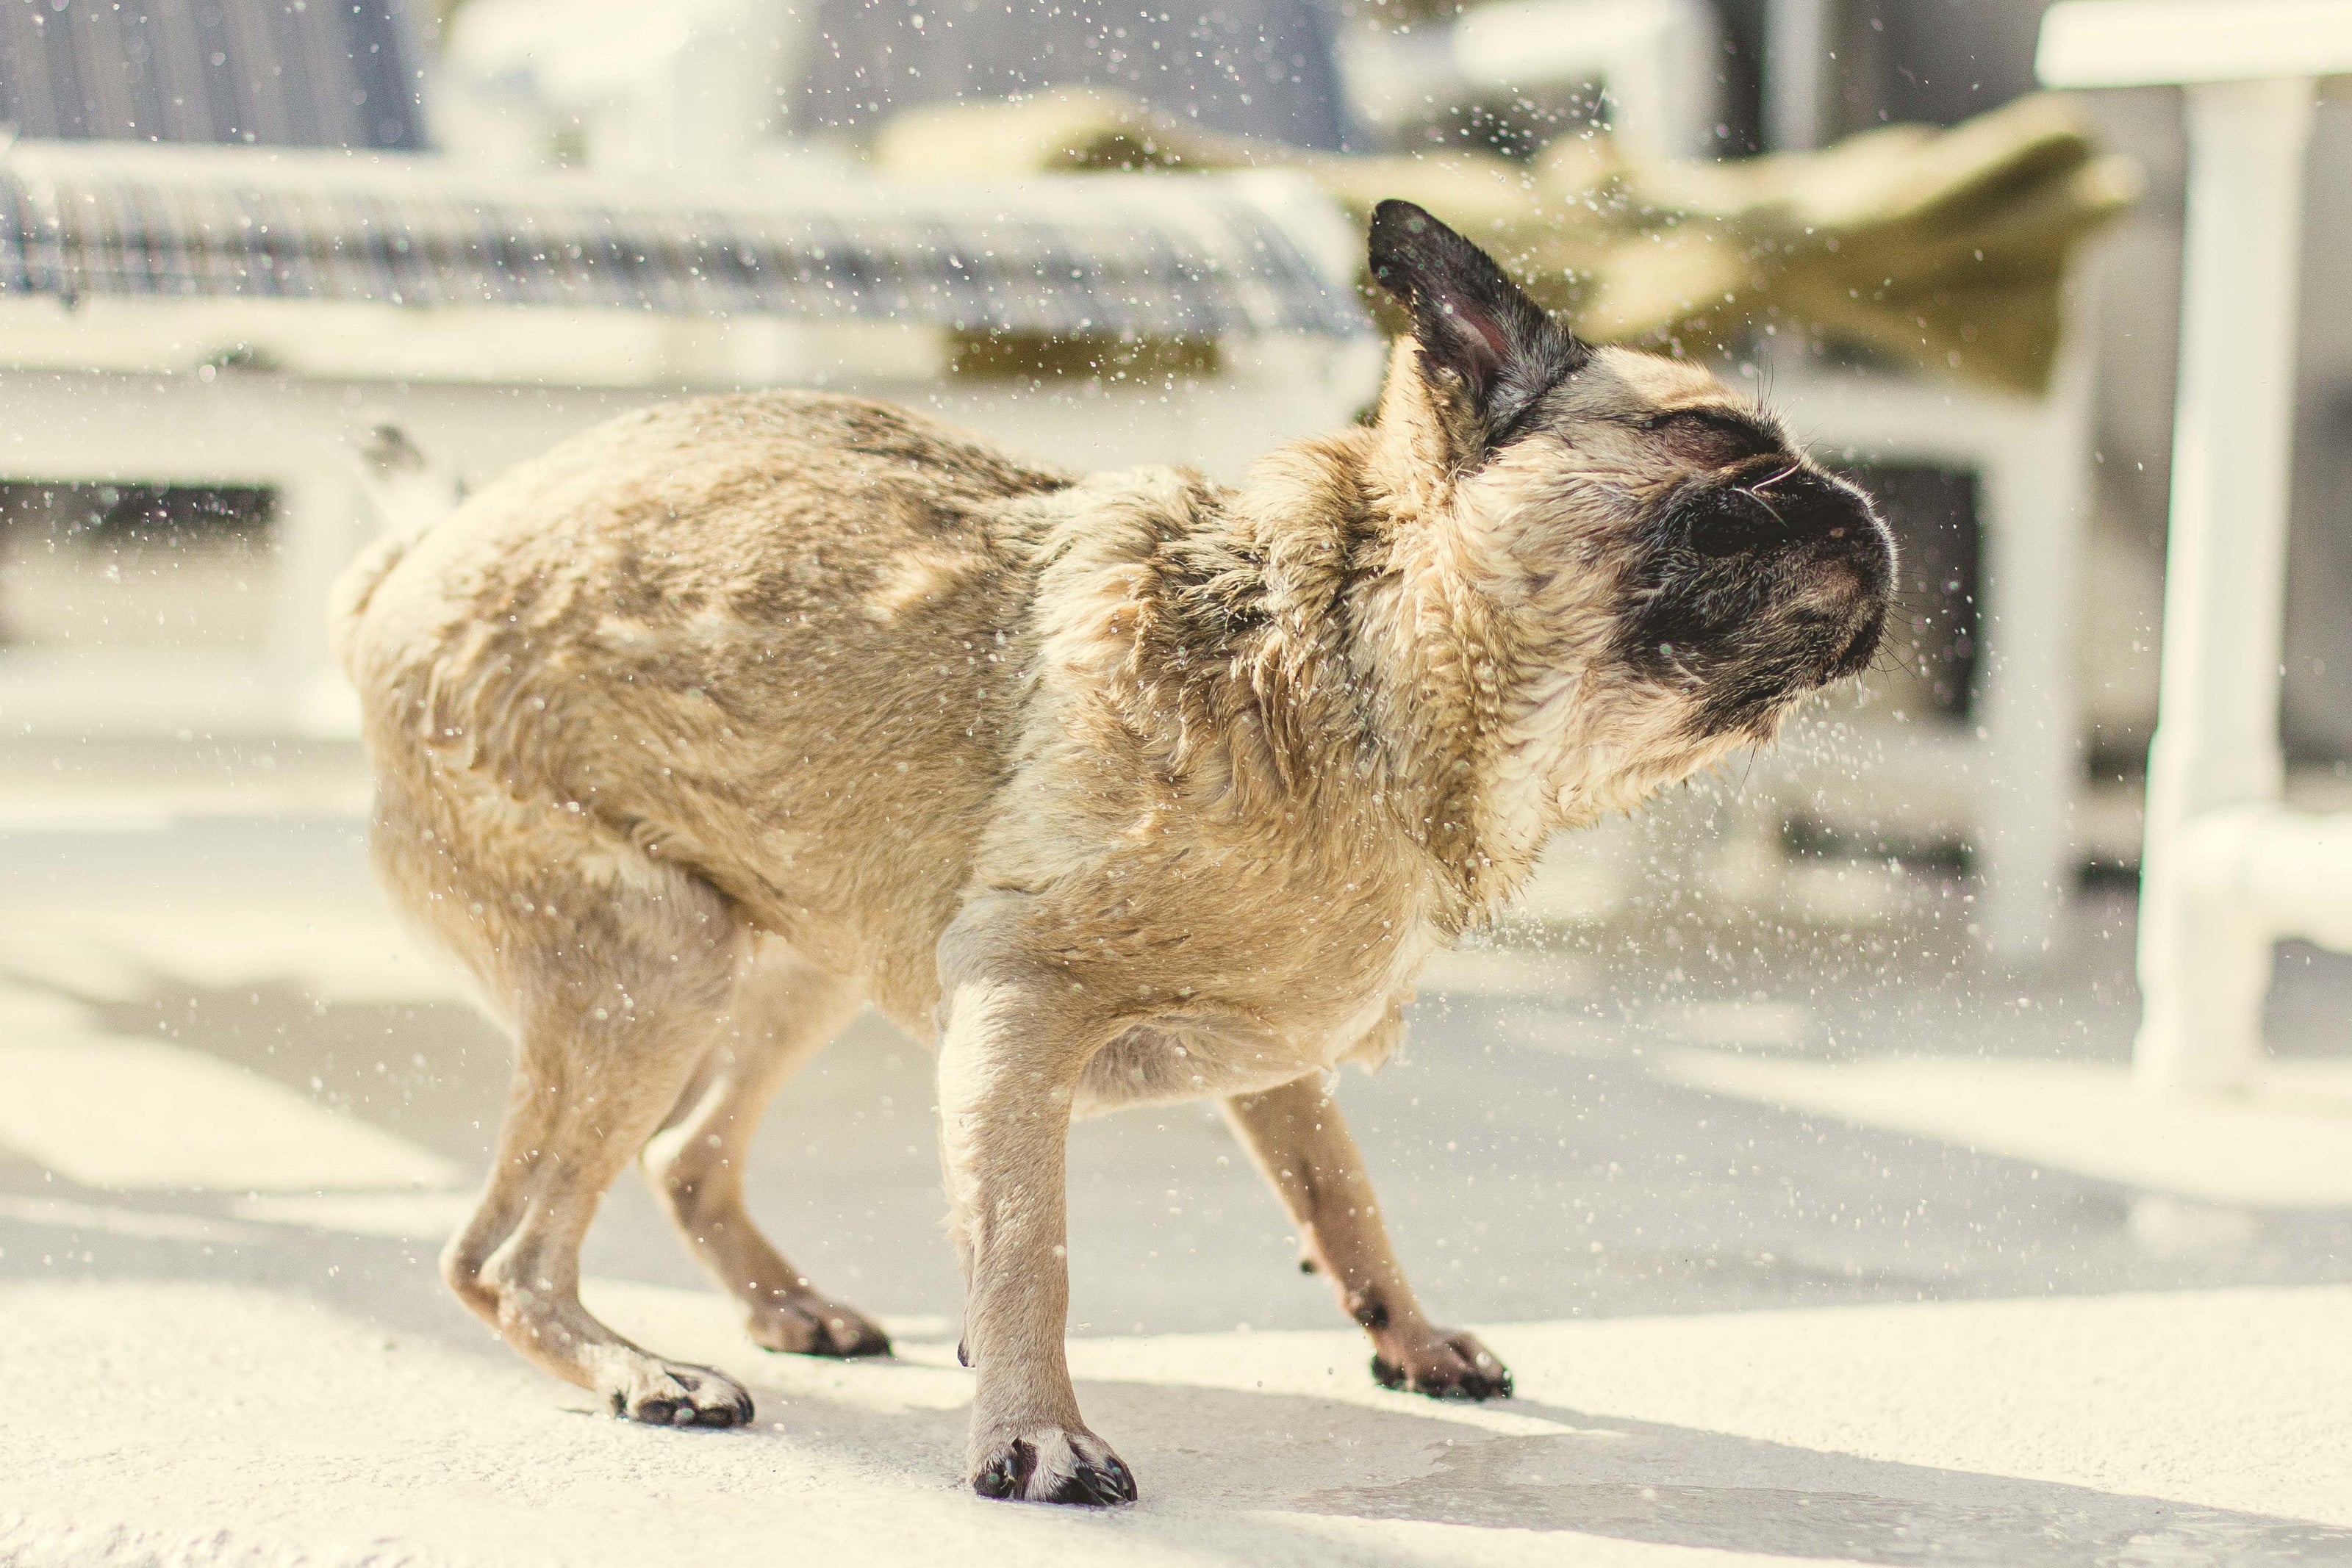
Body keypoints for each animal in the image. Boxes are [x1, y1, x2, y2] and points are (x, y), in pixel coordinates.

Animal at [336, 202, 1890, 1504]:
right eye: (1720, 450)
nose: (1862, 506)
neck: (1356, 655)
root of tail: (404, 565)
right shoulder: (1016, 1013)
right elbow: (1029, 1248)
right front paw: (1035, 1430)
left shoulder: (1275, 1060)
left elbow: (1340, 1185)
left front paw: (1407, 1329)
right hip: (656, 962)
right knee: (502, 1252)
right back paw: (638, 1367)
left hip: (799, 950)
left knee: (684, 1155)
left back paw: (782, 1305)